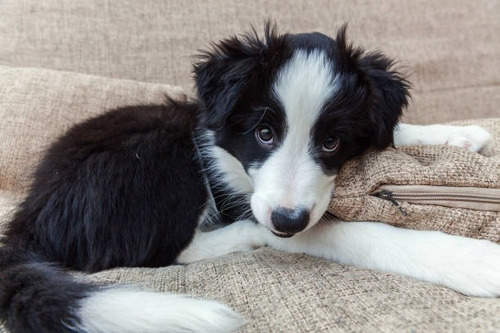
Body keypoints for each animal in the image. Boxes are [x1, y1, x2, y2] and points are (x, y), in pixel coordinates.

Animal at [0, 24, 500, 330]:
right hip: (163, 148)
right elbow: (359, 234)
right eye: (264, 133)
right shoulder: (262, 204)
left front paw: (461, 136)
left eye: (331, 142)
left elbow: (389, 132)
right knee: (161, 251)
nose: (286, 221)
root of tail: (29, 215)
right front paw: (475, 261)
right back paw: (244, 237)